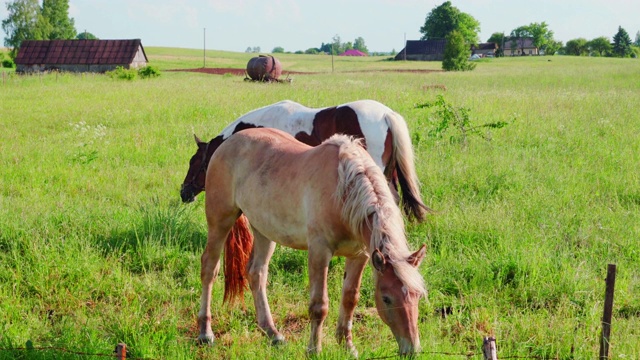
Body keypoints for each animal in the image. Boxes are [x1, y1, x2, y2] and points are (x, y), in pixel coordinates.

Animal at [198, 128, 428, 356]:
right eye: (386, 298)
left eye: (417, 296)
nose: (412, 349)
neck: (344, 192)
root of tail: (229, 142)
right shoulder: (319, 251)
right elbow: (319, 305)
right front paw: (314, 350)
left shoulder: (360, 255)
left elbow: (350, 298)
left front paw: (347, 346)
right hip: (220, 220)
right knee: (209, 268)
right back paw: (205, 332)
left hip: (265, 231)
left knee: (257, 273)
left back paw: (273, 333)